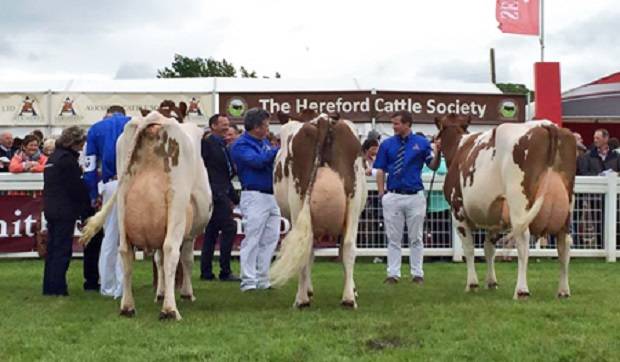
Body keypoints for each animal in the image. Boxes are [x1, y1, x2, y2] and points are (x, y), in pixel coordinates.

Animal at [81, 102, 212, 320]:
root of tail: (155, 118)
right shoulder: (190, 233)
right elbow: (186, 259)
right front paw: (186, 293)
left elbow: (158, 260)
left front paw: (160, 292)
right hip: (176, 201)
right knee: (171, 250)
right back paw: (170, 310)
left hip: (122, 201)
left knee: (125, 252)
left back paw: (127, 306)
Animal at [268, 110, 366, 308]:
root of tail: (323, 120)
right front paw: (352, 289)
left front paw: (309, 290)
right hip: (353, 202)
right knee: (348, 246)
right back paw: (348, 299)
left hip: (298, 202)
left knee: (307, 249)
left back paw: (301, 299)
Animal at [436, 114, 576, 300]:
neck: (459, 148)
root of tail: (546, 125)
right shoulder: (495, 217)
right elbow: (489, 248)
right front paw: (491, 282)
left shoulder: (457, 210)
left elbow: (469, 248)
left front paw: (472, 284)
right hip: (567, 209)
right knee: (564, 245)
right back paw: (563, 290)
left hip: (519, 203)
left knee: (523, 242)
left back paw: (522, 290)